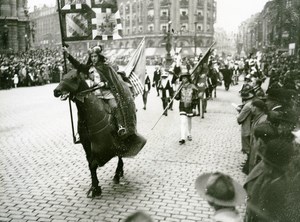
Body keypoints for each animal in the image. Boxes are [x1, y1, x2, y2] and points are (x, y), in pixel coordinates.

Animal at [54, 69, 148, 198]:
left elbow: (94, 163)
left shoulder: (105, 147)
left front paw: (95, 188)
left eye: (73, 77)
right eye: (63, 76)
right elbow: (90, 164)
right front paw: (95, 187)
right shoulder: (87, 145)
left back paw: (117, 174)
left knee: (120, 154)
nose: (56, 91)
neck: (90, 114)